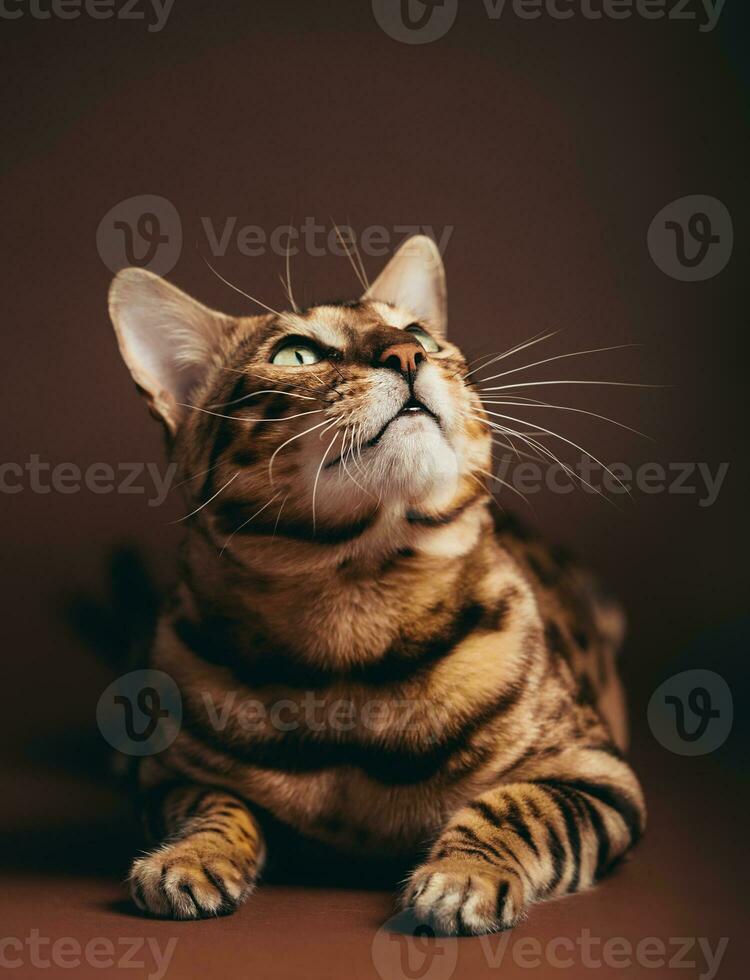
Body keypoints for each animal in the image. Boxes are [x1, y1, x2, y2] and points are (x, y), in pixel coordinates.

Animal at [107, 235, 648, 936]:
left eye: (419, 332)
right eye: (296, 353)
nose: (406, 353)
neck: (354, 609)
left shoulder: (596, 771)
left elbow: (516, 806)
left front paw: (464, 874)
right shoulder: (169, 778)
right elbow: (215, 808)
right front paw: (189, 857)